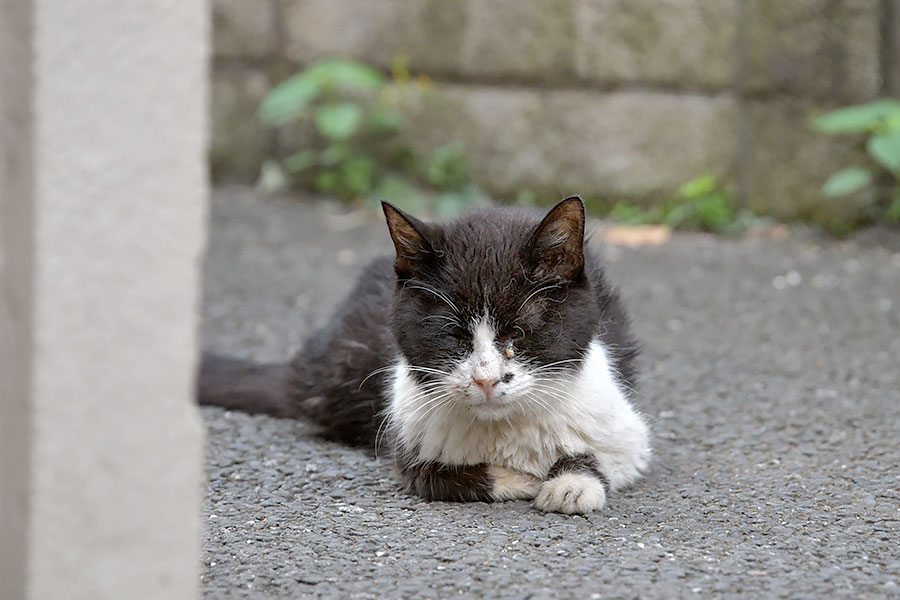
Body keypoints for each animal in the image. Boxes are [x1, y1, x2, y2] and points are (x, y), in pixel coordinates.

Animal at [197, 197, 652, 516]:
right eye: (453, 336)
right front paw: (518, 479)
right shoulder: (406, 430)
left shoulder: (624, 426)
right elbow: (431, 477)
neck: (503, 429)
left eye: (518, 334)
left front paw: (571, 483)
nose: (486, 379)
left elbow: (608, 454)